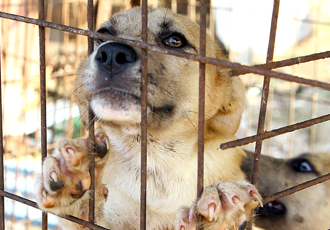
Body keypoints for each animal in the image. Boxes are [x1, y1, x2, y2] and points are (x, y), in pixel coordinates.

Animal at [34, 8, 262, 229]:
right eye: (104, 34)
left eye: (175, 41)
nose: (112, 54)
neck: (153, 159)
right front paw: (73, 179)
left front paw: (219, 209)